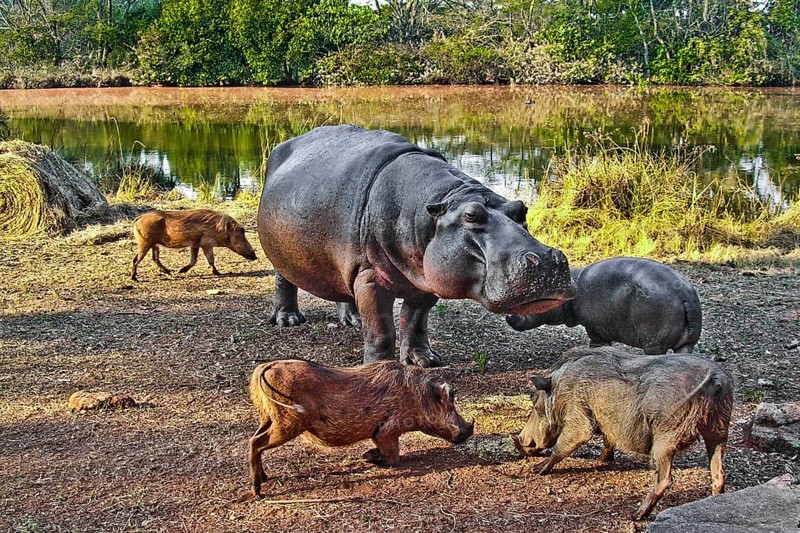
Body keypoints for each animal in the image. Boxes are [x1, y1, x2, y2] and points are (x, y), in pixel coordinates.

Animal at [257, 125, 575, 367]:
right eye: (471, 215)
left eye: (521, 209)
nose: (548, 260)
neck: (440, 203)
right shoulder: (370, 277)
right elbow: (381, 330)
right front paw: (379, 368)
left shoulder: (425, 281)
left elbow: (415, 321)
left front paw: (425, 361)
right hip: (283, 255)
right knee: (284, 281)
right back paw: (288, 320)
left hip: (342, 264)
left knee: (342, 287)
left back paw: (353, 320)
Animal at [506, 257, 701, 354]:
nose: (508, 315)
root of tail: (685, 295)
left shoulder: (594, 328)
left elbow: (596, 343)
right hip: (687, 344)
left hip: (654, 342)